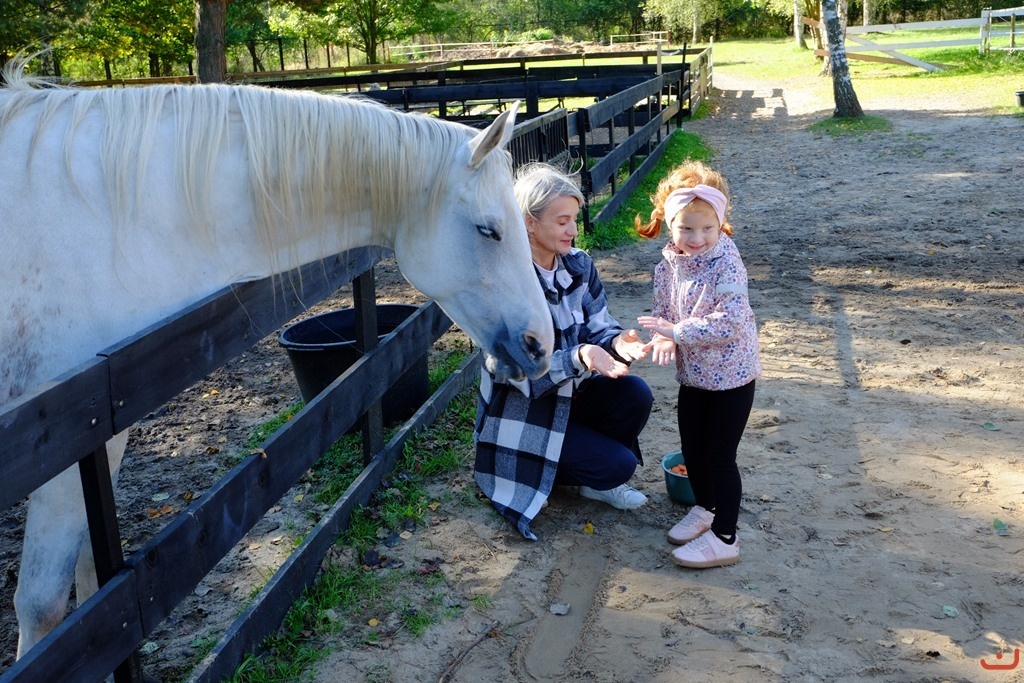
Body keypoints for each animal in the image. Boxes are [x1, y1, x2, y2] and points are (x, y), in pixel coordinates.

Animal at [0, 60, 553, 661]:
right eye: (488, 230)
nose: (541, 345)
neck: (117, 217)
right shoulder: (68, 442)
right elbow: (43, 605)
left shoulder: (98, 443)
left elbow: (89, 582)